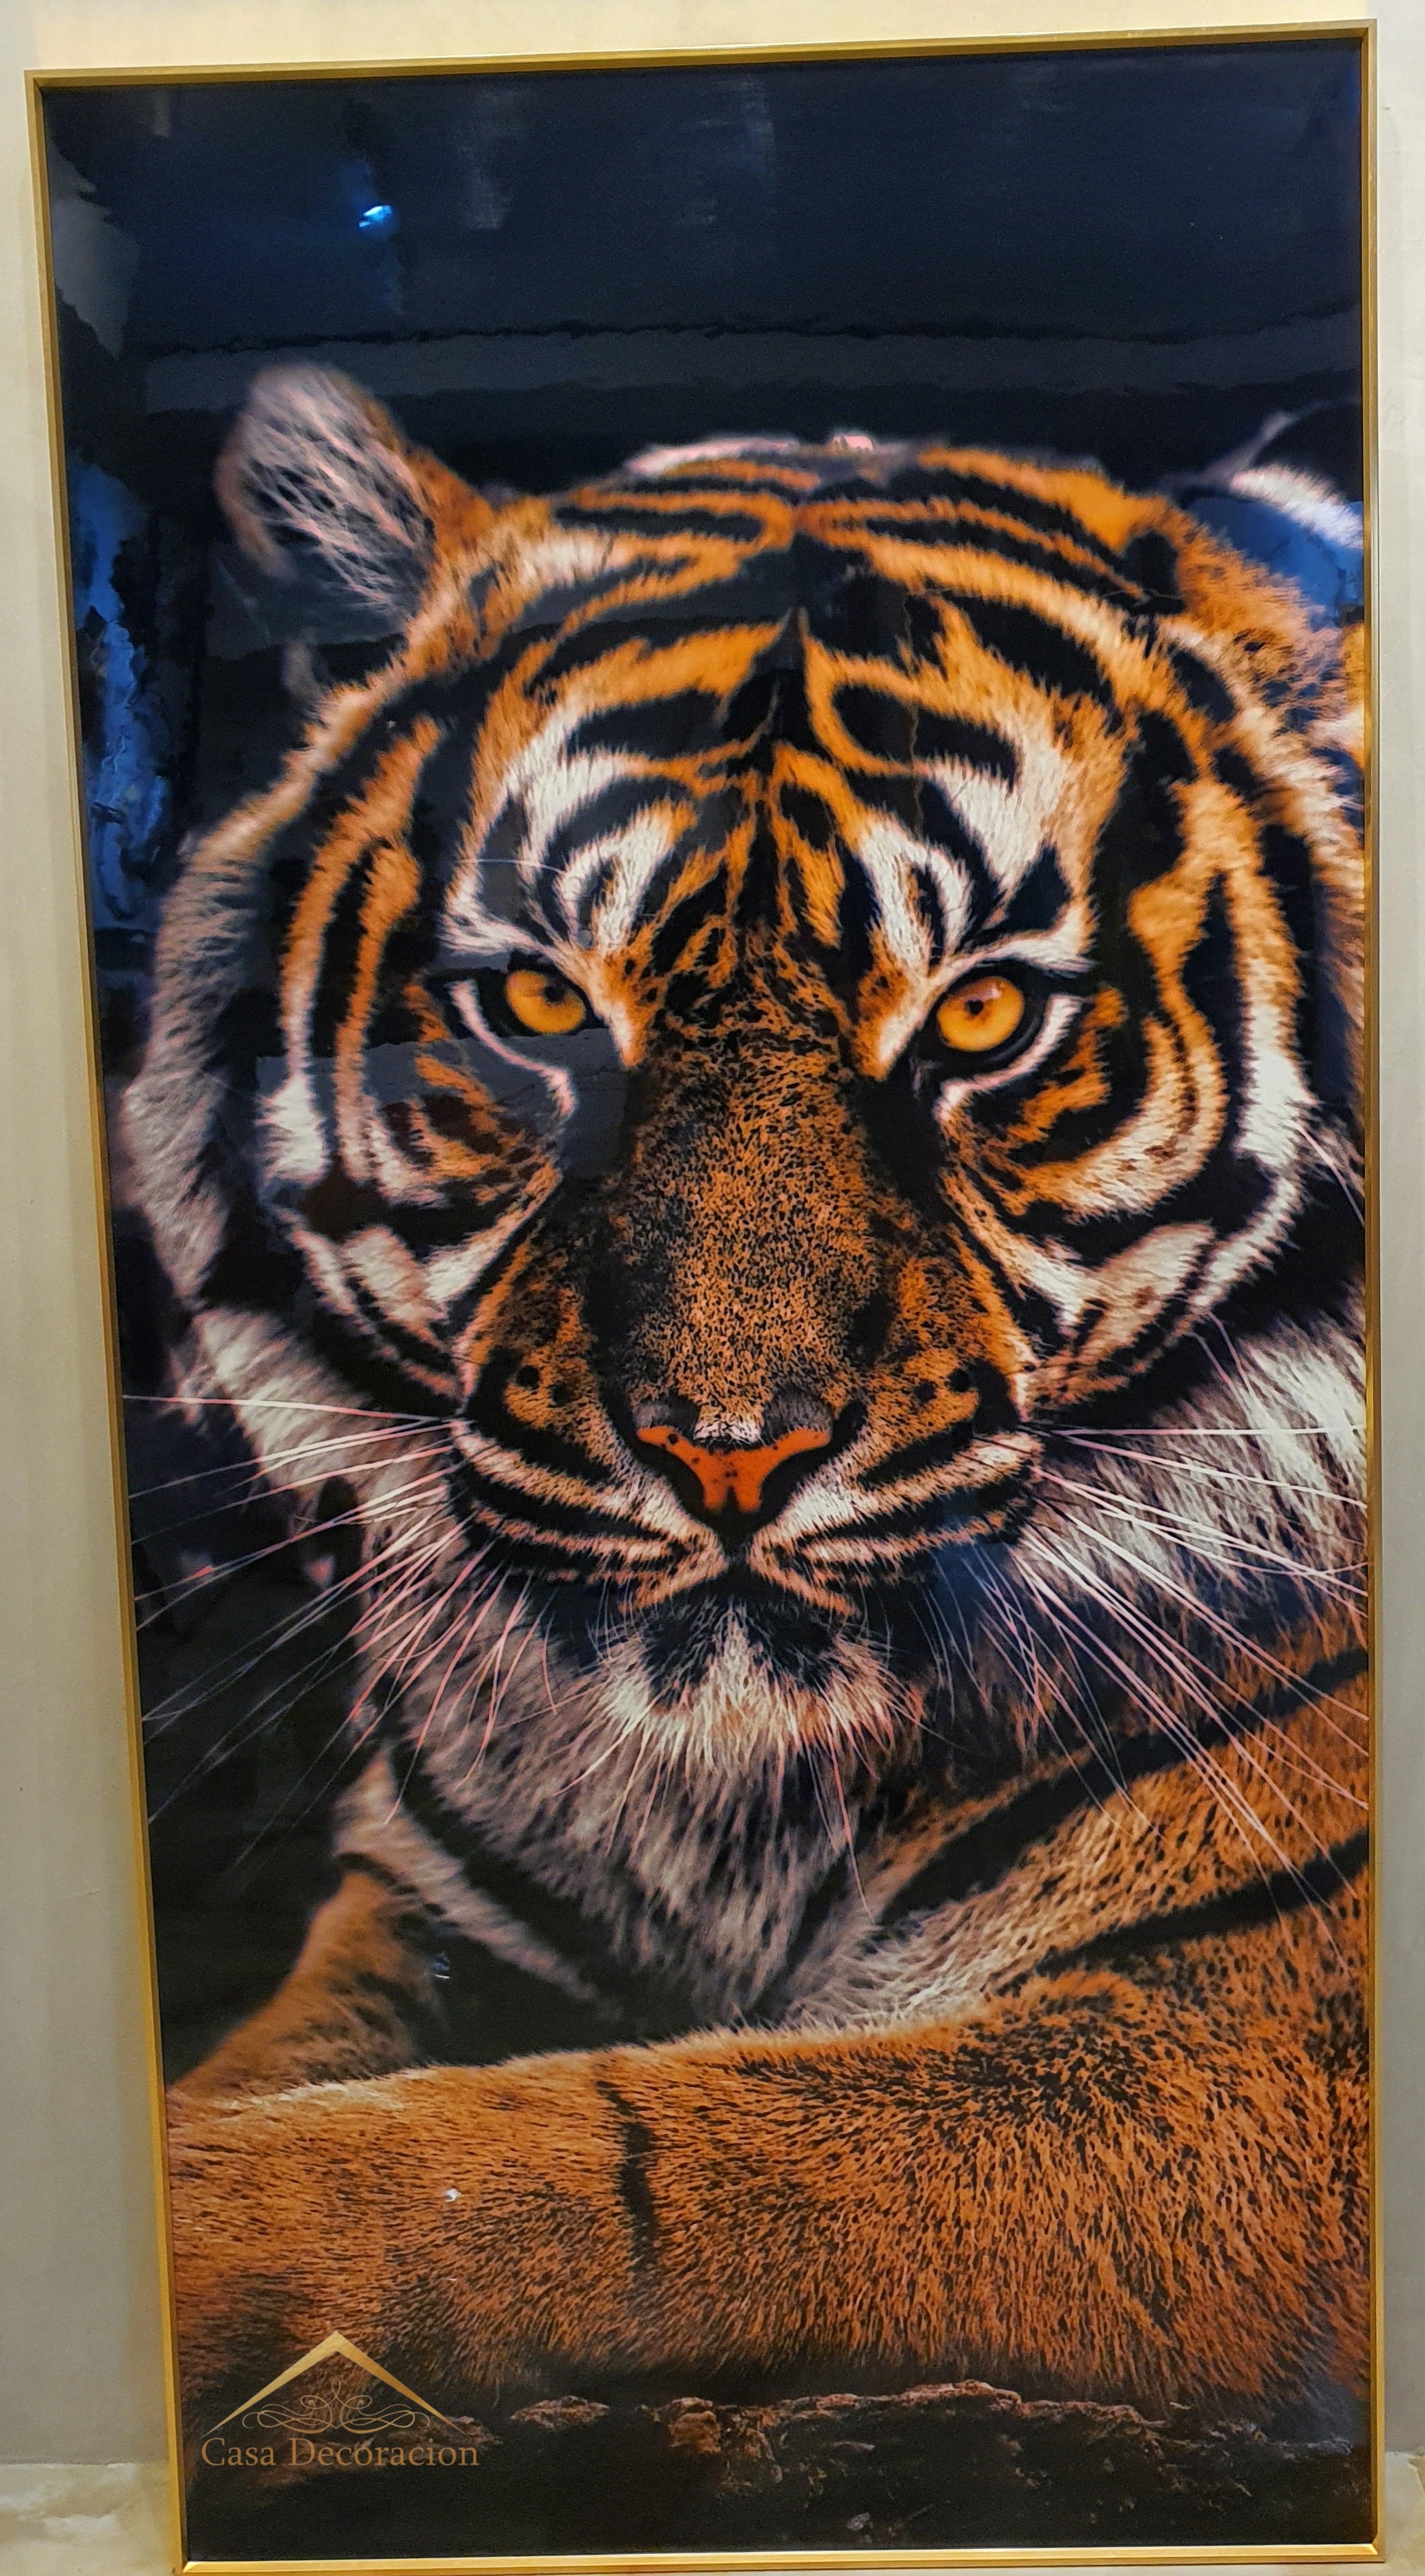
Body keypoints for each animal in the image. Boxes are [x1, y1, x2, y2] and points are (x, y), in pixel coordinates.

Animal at [125, 366, 1369, 2496]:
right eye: (538, 1004)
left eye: (981, 1021)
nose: (725, 1448)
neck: (732, 1802)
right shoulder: (426, 1918)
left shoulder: (1247, 2055)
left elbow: (585, 2159)